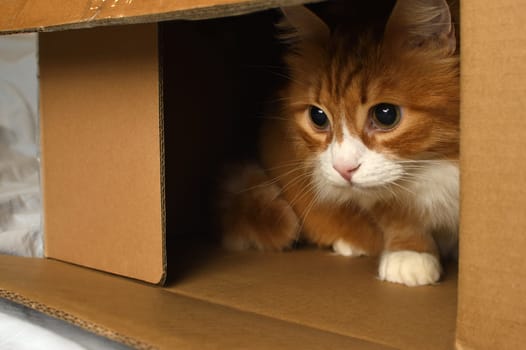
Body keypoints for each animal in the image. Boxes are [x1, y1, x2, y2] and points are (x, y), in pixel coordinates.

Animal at [217, 0, 460, 288]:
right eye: (318, 116)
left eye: (386, 114)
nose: (344, 169)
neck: (437, 163)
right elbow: (398, 217)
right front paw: (410, 252)